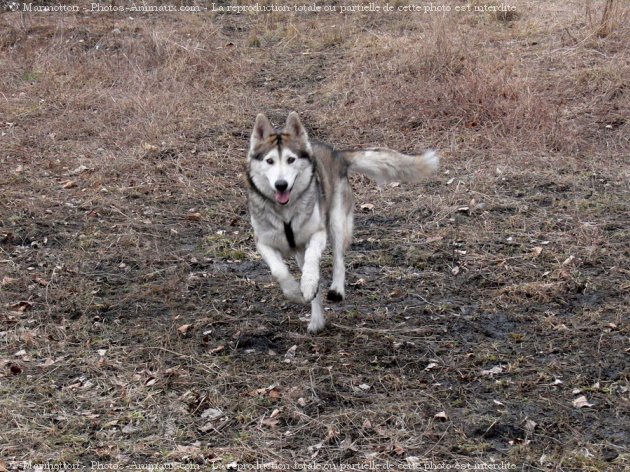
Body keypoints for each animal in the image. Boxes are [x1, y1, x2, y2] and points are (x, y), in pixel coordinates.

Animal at [247, 112, 440, 334]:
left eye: (290, 159)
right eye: (269, 161)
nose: (281, 185)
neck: (285, 213)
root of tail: (337, 154)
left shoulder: (318, 233)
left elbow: (313, 262)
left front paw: (307, 284)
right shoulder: (263, 242)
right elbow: (279, 271)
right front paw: (295, 292)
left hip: (337, 222)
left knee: (338, 260)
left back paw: (336, 290)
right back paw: (316, 320)